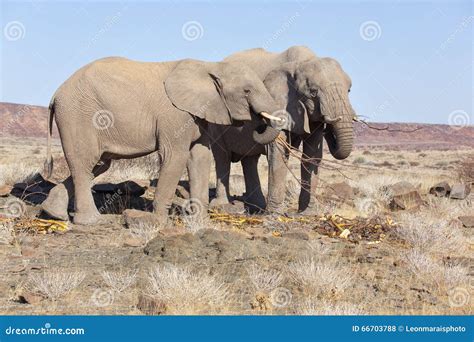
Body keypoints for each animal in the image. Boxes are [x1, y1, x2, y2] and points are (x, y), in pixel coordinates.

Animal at [40, 56, 282, 224]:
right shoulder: (174, 116)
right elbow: (176, 157)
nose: (258, 123)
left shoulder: (199, 114)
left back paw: (53, 212)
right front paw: (155, 222)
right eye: (247, 91)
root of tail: (55, 95)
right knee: (84, 163)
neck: (210, 65)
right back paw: (93, 222)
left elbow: (200, 157)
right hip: (77, 117)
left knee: (97, 164)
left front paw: (200, 222)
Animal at [211, 47, 356, 214]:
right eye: (313, 92)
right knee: (222, 156)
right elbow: (278, 154)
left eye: (349, 90)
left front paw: (307, 213)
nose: (329, 130)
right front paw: (274, 214)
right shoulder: (280, 102)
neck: (301, 63)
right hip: (217, 114)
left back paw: (256, 207)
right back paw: (223, 206)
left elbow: (312, 155)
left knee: (250, 159)